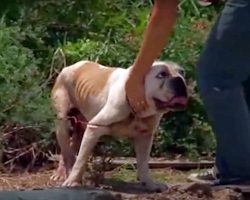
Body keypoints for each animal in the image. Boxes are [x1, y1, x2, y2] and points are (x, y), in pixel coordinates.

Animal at [50, 59, 188, 192]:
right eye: (162, 74)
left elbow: (143, 163)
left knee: (70, 147)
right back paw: (64, 174)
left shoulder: (145, 137)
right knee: (67, 151)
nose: (180, 80)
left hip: (81, 127)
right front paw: (72, 181)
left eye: (182, 72)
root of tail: (70, 67)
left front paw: (150, 185)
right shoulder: (94, 128)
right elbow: (81, 159)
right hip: (63, 122)